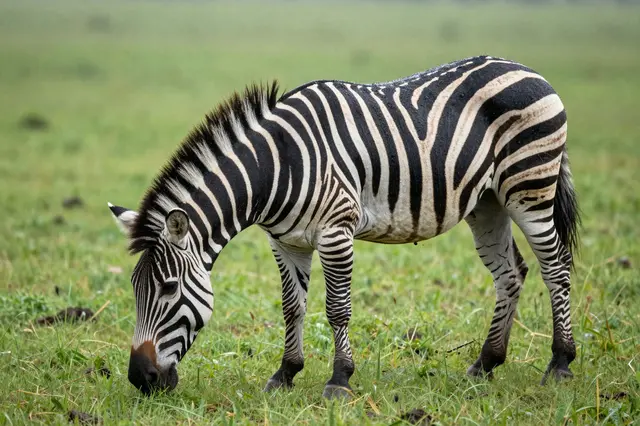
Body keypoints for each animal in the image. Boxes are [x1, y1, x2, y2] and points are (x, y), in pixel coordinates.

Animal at [108, 55, 579, 398]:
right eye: (133, 289)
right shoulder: (286, 242)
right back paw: (486, 363)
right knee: (511, 274)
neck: (276, 166)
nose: (139, 380)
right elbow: (292, 307)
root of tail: (522, 66)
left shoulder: (336, 231)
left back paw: (559, 364)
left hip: (530, 187)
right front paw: (285, 373)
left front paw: (339, 379)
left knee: (555, 268)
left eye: (168, 289)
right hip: (487, 202)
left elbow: (337, 308)